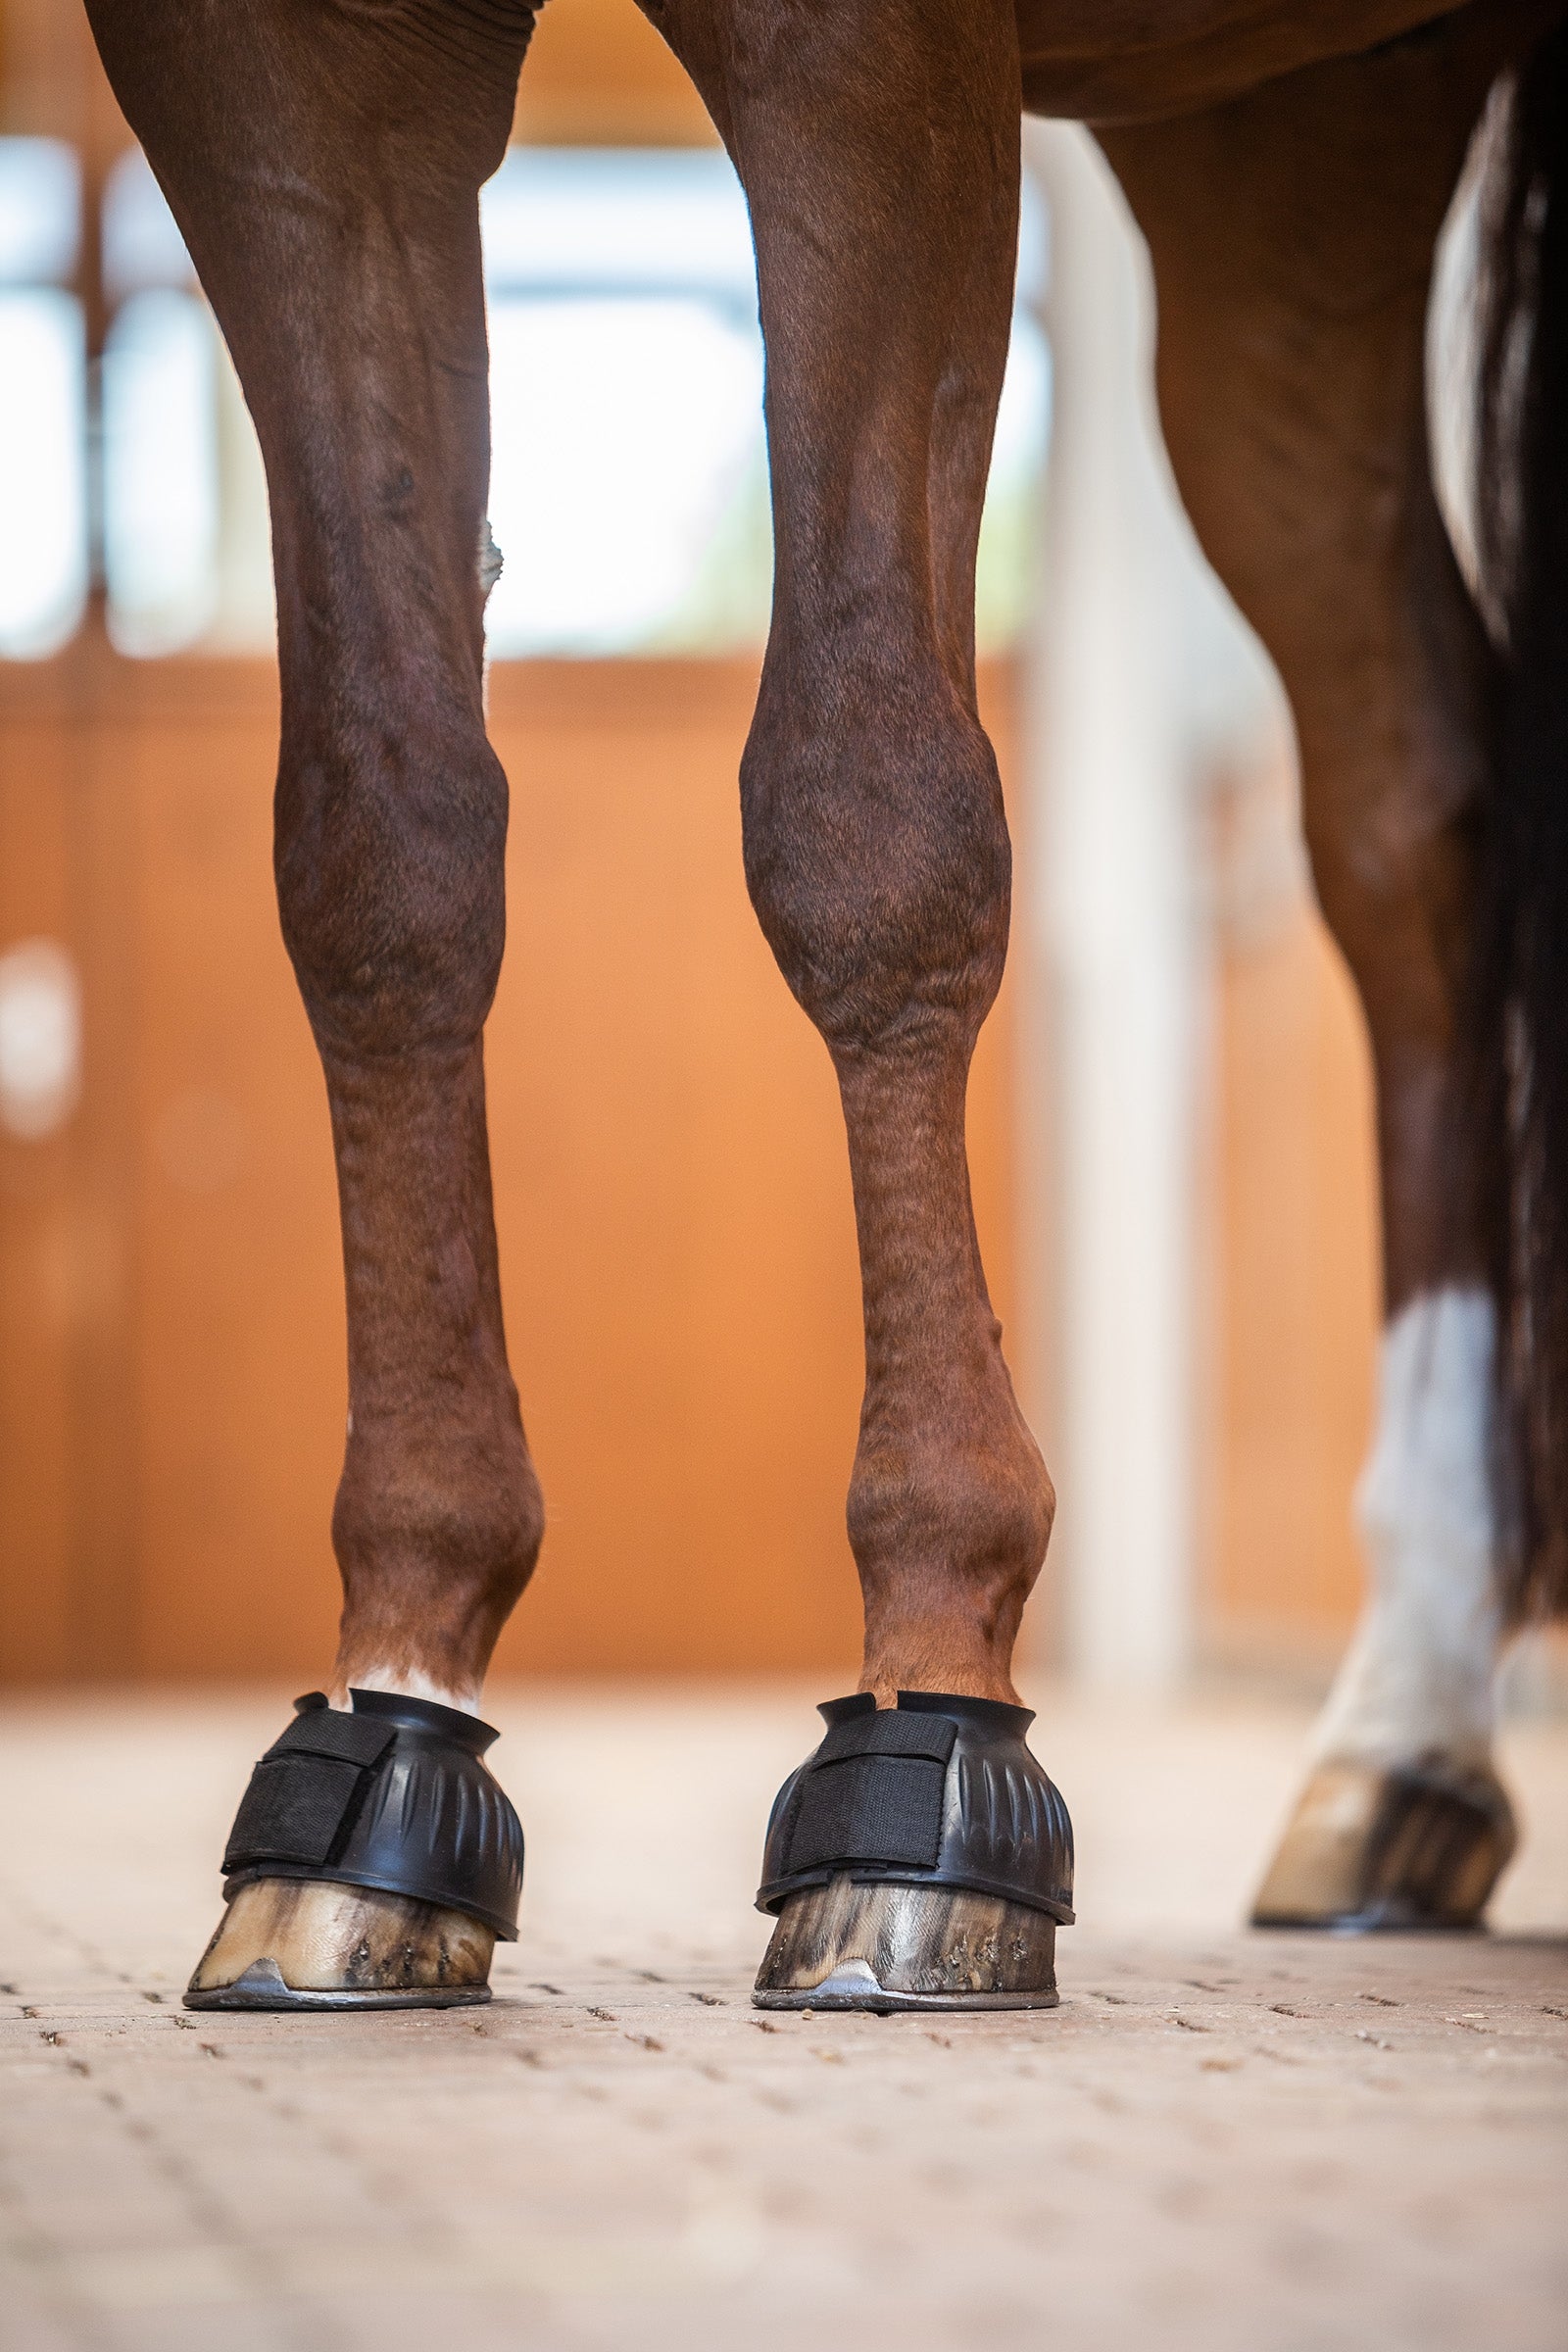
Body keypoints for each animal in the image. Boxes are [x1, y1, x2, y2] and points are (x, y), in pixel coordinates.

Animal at [77, 0, 1567, 2013]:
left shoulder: (870, 49)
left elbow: (865, 814)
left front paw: (935, 1717)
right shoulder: (278, 81)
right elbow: (380, 843)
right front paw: (393, 1734)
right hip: (1295, 144)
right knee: (1413, 817)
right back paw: (1404, 1743)